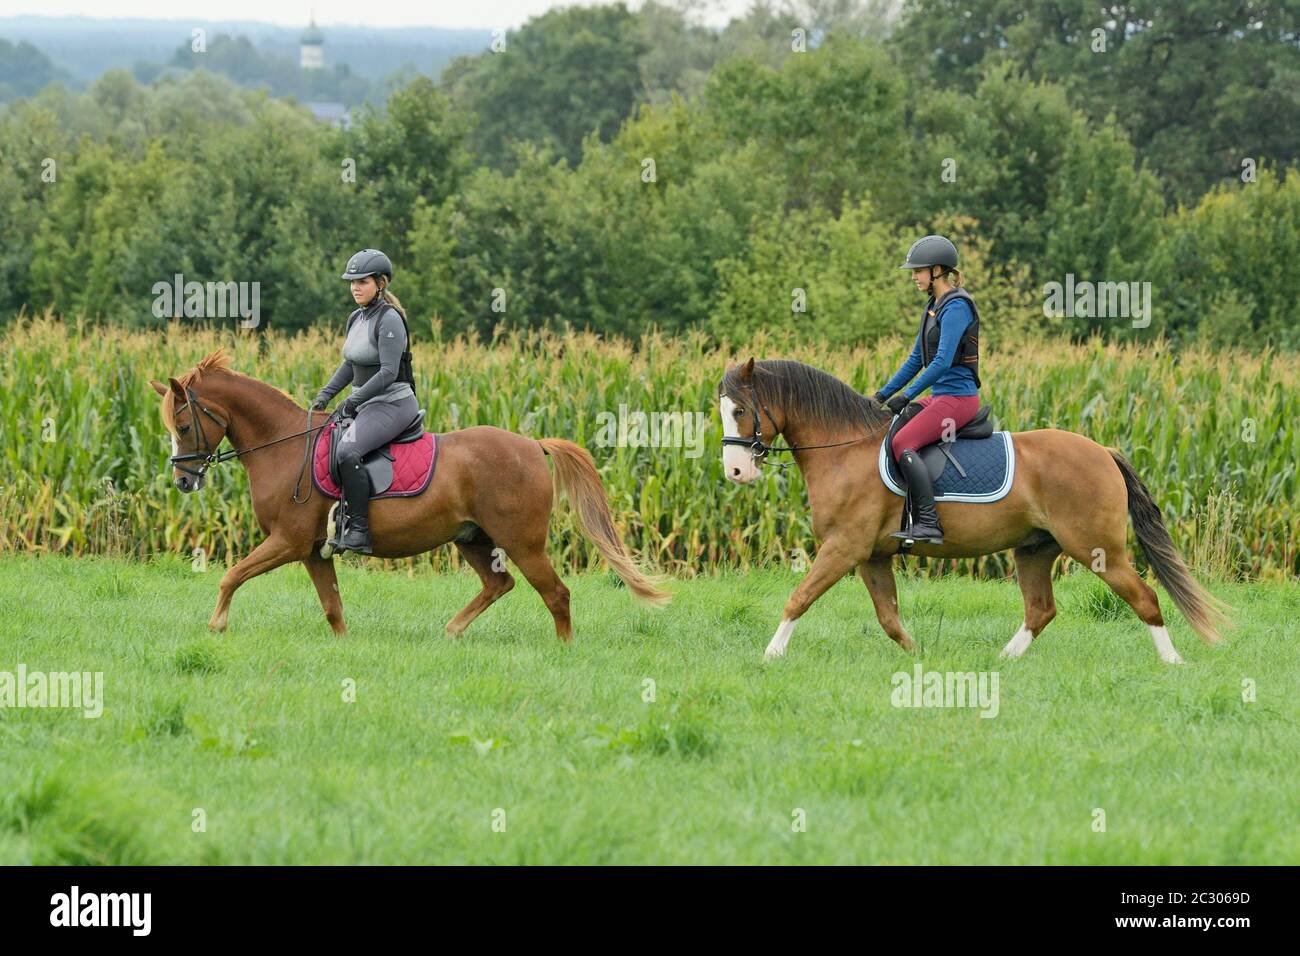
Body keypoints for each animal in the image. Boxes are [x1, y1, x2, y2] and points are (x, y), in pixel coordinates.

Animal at [150, 349, 669, 638]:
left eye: (183, 426)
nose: (183, 481)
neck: (284, 446)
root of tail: (532, 444)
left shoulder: (288, 541)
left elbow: (230, 576)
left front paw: (216, 626)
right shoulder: (313, 551)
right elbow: (332, 607)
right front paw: (345, 646)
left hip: (522, 542)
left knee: (556, 594)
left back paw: (563, 648)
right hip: (473, 538)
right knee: (498, 584)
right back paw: (452, 632)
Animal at [718, 358, 1228, 663]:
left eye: (740, 410)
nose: (736, 471)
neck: (845, 448)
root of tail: (1102, 451)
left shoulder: (844, 548)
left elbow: (799, 598)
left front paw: (770, 655)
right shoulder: (872, 556)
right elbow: (889, 618)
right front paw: (919, 656)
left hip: (1098, 549)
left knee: (1145, 599)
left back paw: (1173, 662)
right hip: (1035, 550)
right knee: (1041, 610)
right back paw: (1002, 661)